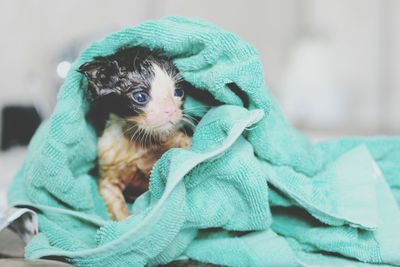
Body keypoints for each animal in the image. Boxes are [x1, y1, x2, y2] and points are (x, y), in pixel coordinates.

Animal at [78, 46, 192, 222]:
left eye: (178, 92)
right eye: (140, 96)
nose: (171, 110)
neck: (135, 140)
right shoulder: (107, 171)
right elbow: (116, 206)